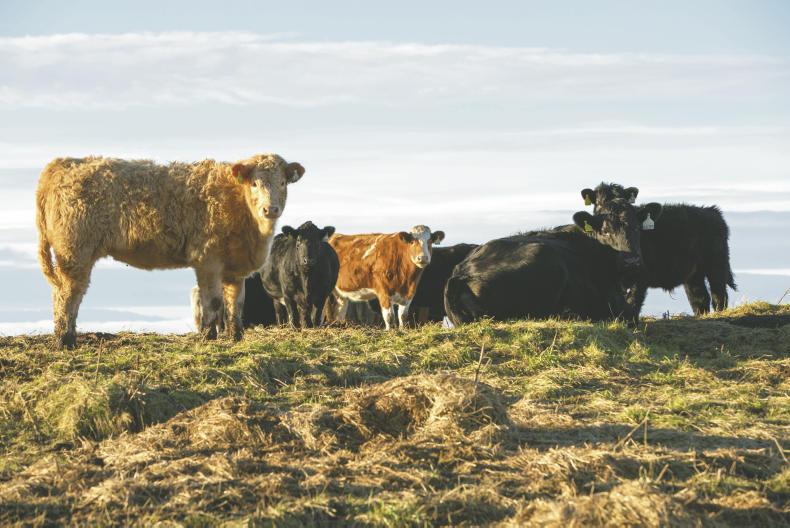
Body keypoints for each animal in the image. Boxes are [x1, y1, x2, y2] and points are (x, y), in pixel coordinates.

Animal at [36, 154, 304, 348]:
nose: (270, 209)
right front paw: (208, 337)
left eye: (282, 183)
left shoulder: (235, 269)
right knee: (68, 295)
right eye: (255, 183)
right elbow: (213, 301)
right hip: (75, 254)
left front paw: (235, 337)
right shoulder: (208, 260)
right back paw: (65, 340)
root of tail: (62, 163)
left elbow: (235, 303)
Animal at [581, 183, 736, 317]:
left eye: (637, 227)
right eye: (598, 203)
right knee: (700, 299)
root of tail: (712, 210)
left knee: (719, 295)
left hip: (717, 265)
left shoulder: (642, 276)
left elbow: (633, 302)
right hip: (694, 275)